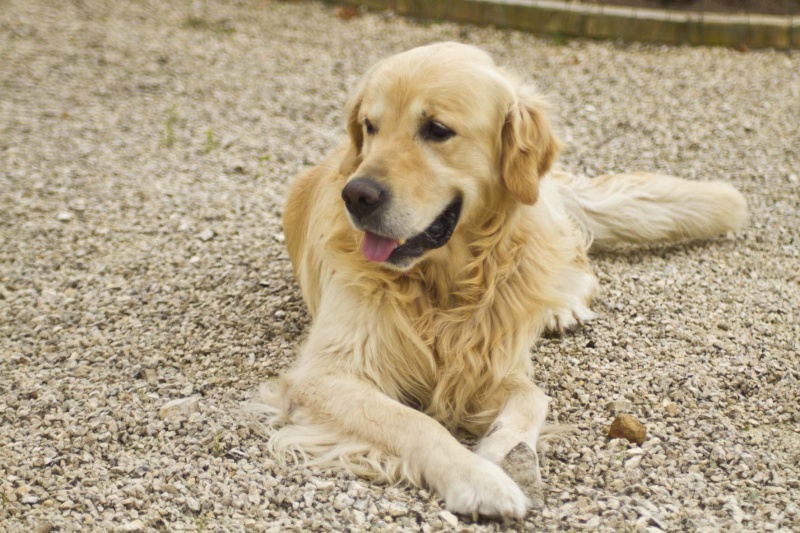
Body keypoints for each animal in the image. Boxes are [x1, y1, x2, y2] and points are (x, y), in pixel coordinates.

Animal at [252, 41, 752, 516]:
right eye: (369, 126)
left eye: (436, 130)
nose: (356, 195)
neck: (443, 286)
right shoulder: (323, 376)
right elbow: (415, 421)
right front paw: (479, 479)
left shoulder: (495, 359)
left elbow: (534, 396)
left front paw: (503, 452)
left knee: (579, 266)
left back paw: (562, 307)